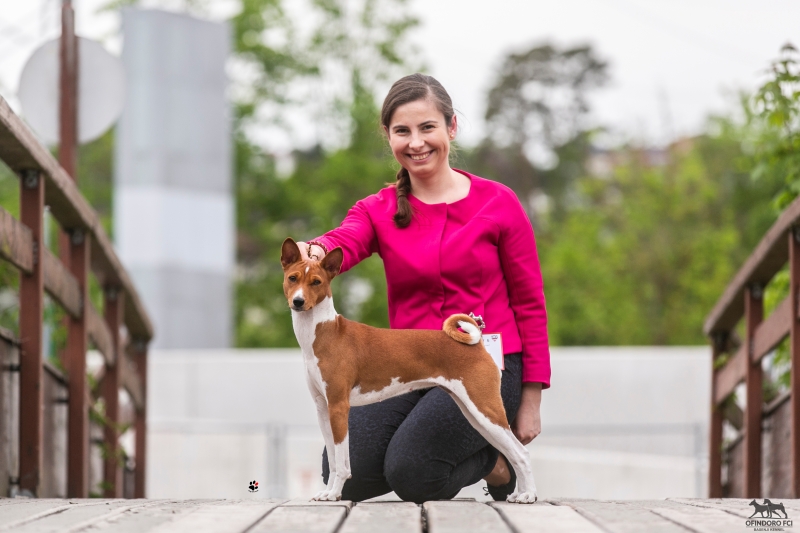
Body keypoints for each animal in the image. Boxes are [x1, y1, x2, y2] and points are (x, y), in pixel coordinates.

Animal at [282, 238, 536, 502]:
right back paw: (519, 493)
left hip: (484, 408)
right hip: (473, 414)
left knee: (521, 453)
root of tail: (476, 343)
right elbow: (333, 461)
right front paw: (328, 492)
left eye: (316, 282)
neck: (324, 332)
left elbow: (342, 463)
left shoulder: (339, 407)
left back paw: (528, 495)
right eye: (292, 278)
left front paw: (334, 494)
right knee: (511, 452)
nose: (298, 302)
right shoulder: (324, 408)